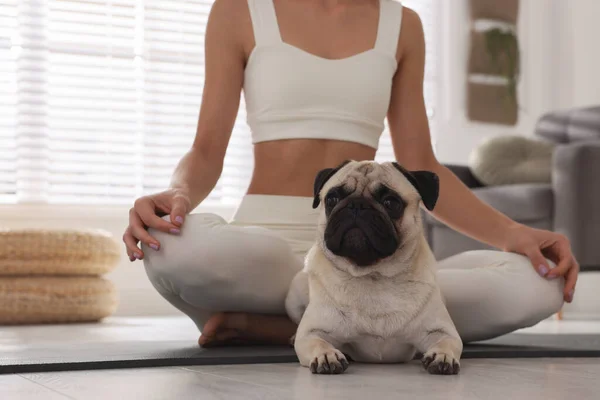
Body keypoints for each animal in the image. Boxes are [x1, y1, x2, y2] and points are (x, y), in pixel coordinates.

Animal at [286, 159, 464, 376]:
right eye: (332, 199)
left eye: (391, 203)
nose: (356, 204)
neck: (373, 275)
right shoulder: (314, 331)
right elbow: (317, 341)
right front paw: (327, 355)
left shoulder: (441, 331)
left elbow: (447, 341)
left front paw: (442, 355)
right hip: (294, 296)